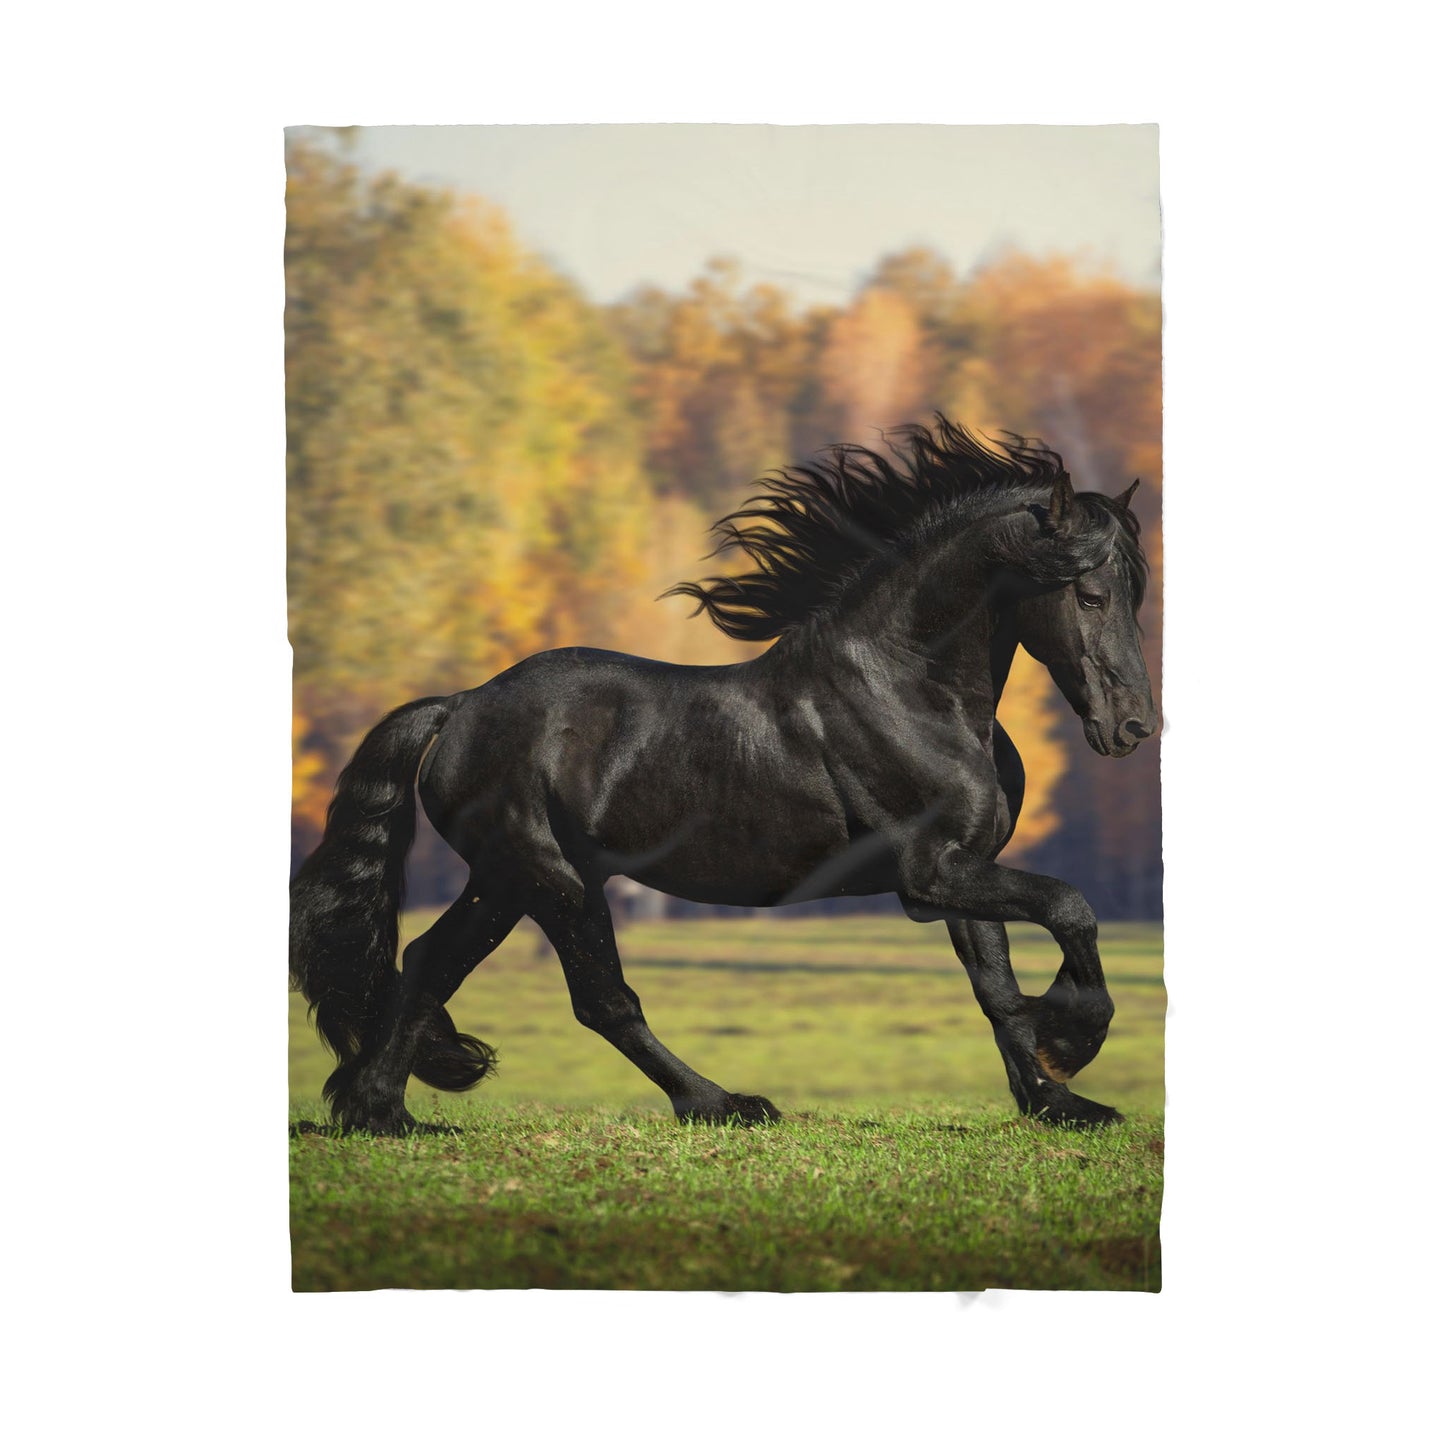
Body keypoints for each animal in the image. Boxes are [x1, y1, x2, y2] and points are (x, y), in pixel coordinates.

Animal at [290, 416, 1157, 1134]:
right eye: (1089, 592)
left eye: (1133, 593)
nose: (1133, 727)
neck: (908, 689)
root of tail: (461, 705)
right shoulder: (929, 871)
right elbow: (1069, 908)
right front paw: (1072, 1040)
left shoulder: (962, 868)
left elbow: (995, 988)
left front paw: (1057, 1100)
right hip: (552, 877)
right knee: (599, 998)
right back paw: (723, 1102)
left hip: (506, 879)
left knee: (428, 962)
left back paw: (381, 1111)